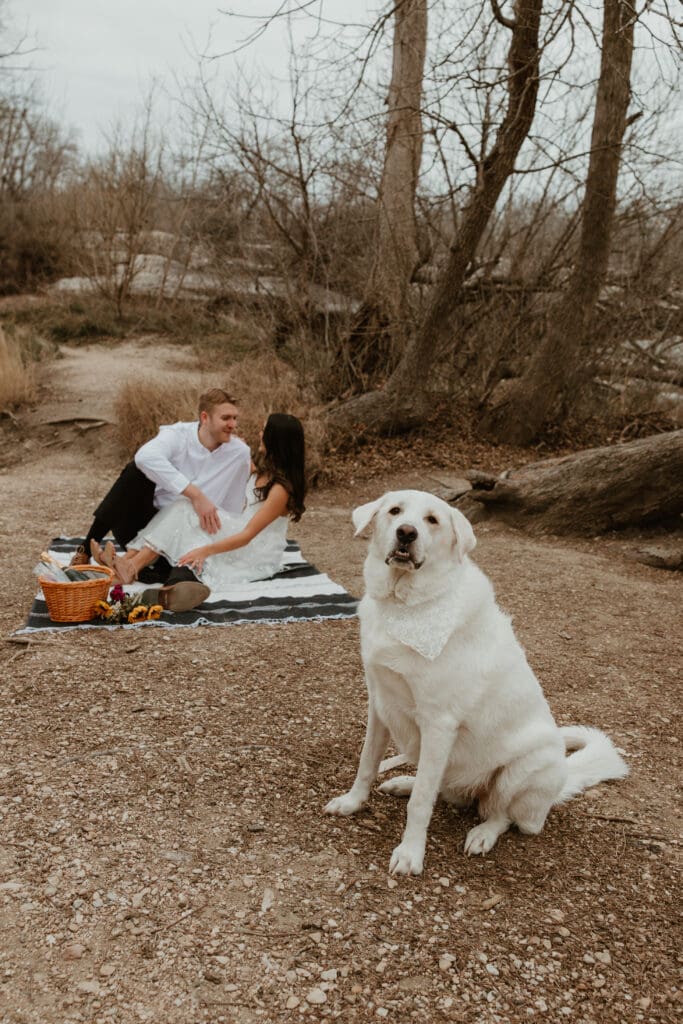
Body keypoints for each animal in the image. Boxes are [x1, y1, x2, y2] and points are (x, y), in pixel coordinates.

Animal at [323, 491, 626, 876]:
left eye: (432, 520)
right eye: (395, 511)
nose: (406, 533)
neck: (405, 604)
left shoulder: (438, 725)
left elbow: (421, 803)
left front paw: (410, 853)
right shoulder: (380, 704)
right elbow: (367, 765)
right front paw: (352, 803)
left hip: (521, 770)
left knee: (502, 815)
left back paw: (482, 834)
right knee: (441, 786)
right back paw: (404, 782)